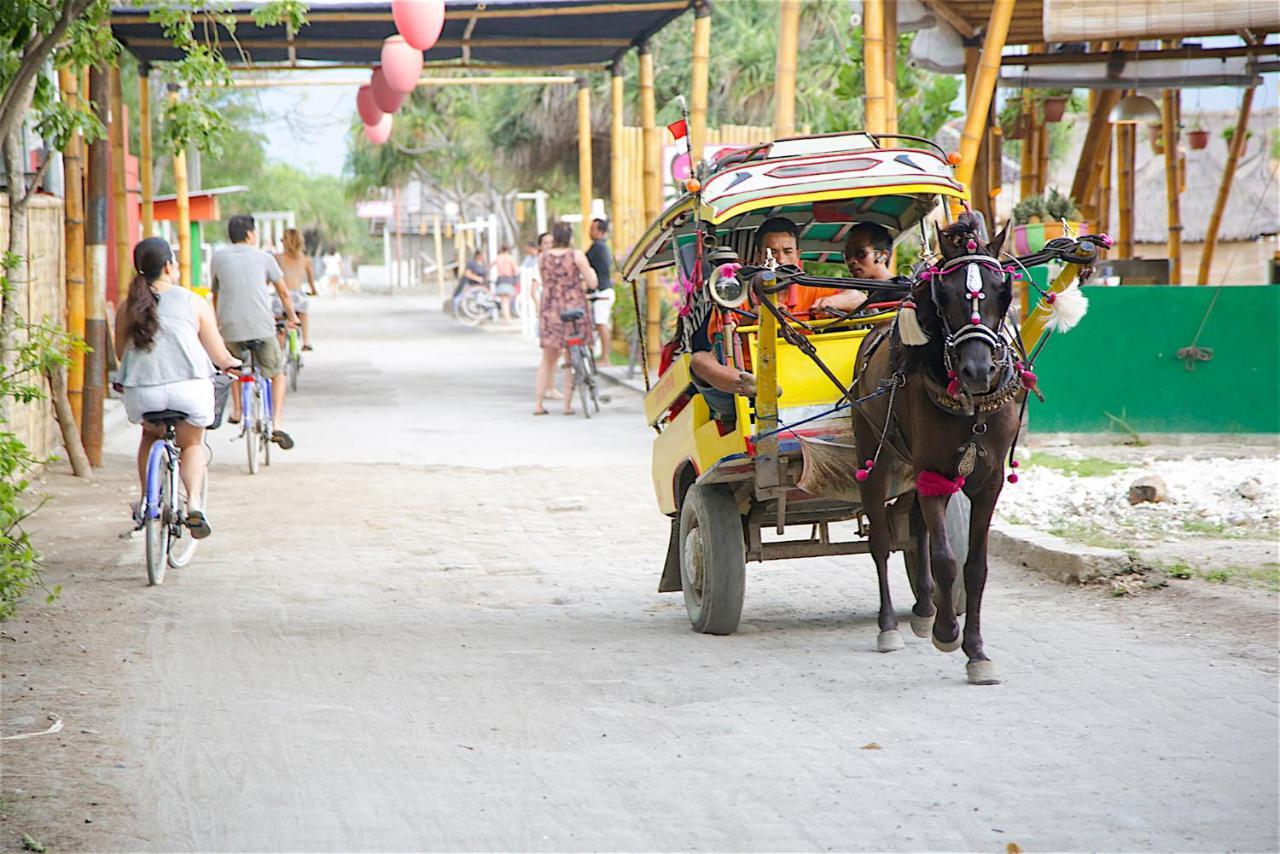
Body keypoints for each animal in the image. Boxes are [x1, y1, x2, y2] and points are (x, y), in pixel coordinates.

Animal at [849, 217, 1029, 686]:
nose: (978, 370)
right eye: (943, 295)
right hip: (874, 456)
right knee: (880, 541)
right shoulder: (932, 471)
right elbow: (947, 559)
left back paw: (925, 608)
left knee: (917, 530)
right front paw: (949, 633)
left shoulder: (987, 482)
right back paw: (889, 626)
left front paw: (977, 651)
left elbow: (974, 566)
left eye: (1002, 291)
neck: (971, 407)